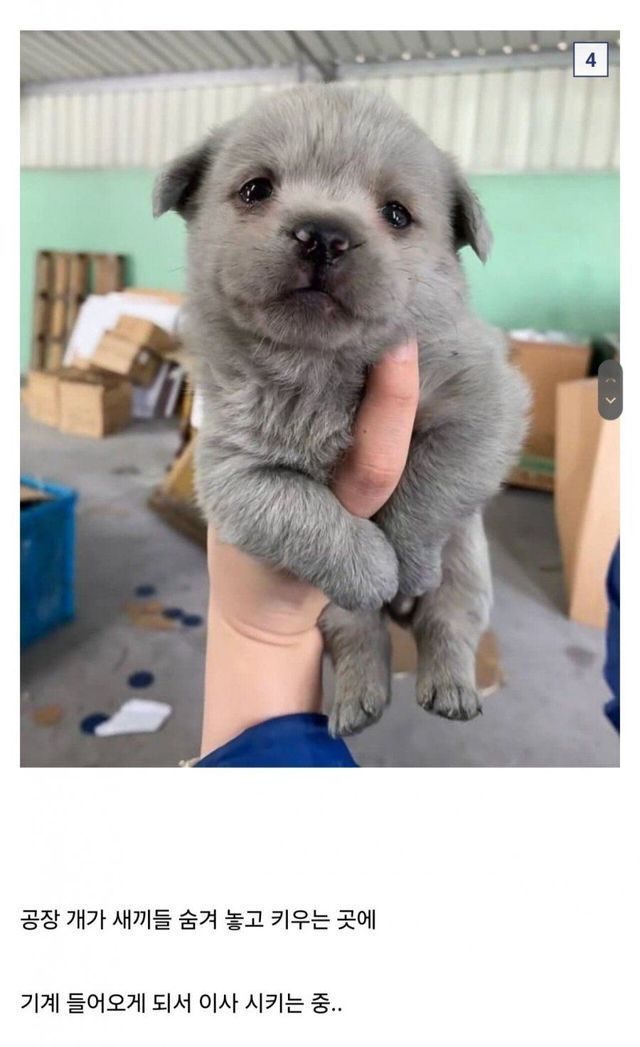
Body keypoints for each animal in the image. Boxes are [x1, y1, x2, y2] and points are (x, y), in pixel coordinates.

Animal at [154, 84, 529, 737]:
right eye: (256, 189)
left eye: (397, 213)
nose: (323, 234)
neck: (321, 370)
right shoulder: (231, 472)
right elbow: (304, 513)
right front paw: (375, 569)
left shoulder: (484, 400)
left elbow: (429, 488)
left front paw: (405, 561)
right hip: (332, 612)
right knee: (361, 638)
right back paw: (358, 703)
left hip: (467, 566)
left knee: (448, 623)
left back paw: (450, 688)